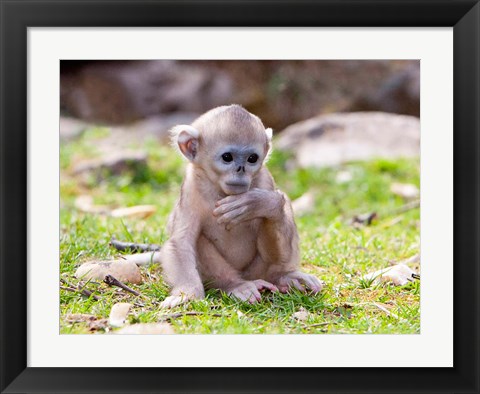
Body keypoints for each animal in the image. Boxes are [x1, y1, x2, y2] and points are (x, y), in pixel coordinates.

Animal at [152, 104, 322, 308]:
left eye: (252, 158)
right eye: (227, 157)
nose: (241, 169)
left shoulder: (265, 181)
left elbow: (273, 212)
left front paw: (259, 203)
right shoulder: (191, 188)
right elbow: (181, 242)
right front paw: (188, 294)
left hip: (257, 271)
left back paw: (283, 276)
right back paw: (235, 285)